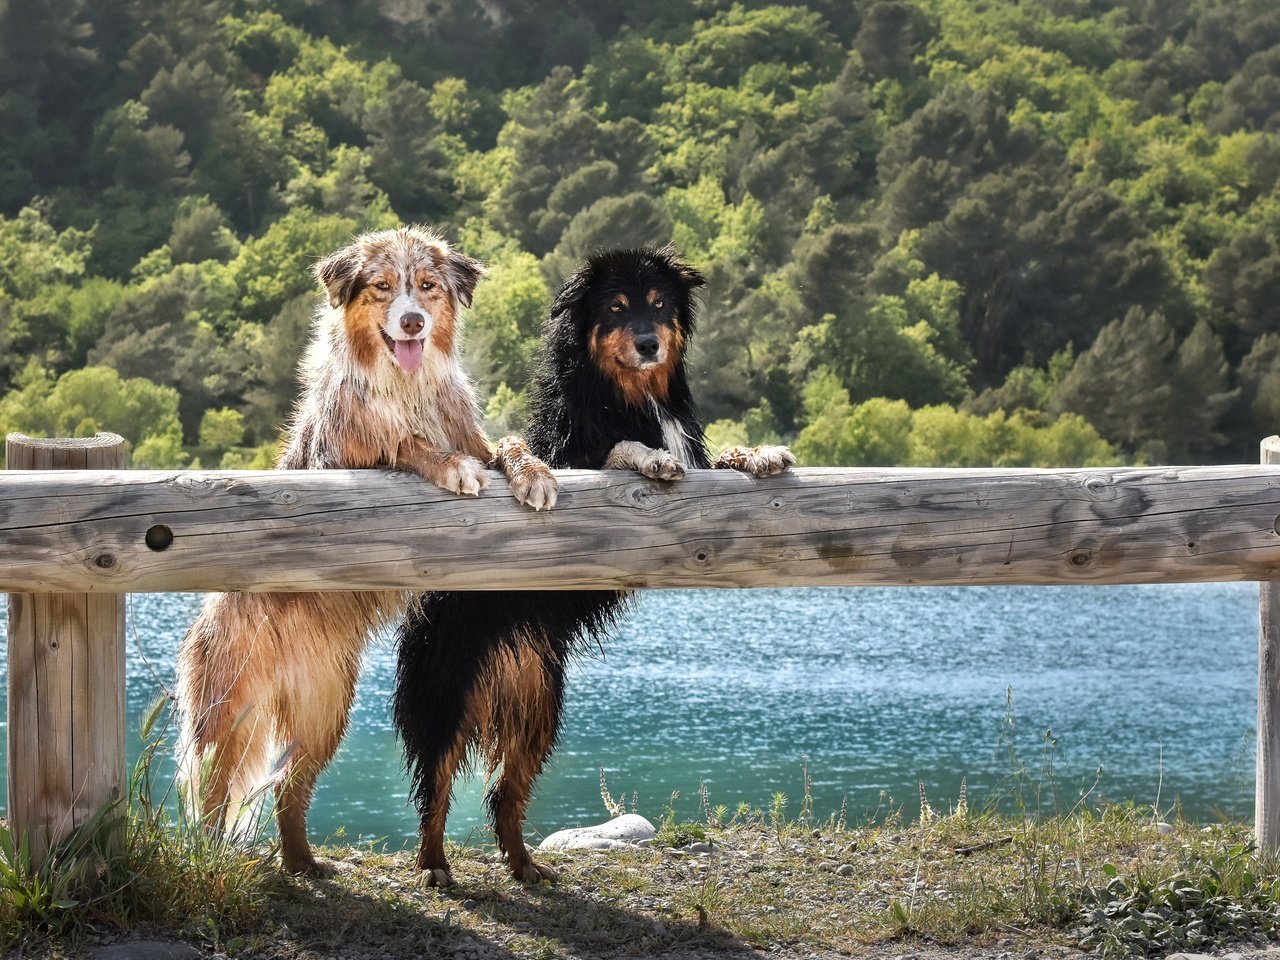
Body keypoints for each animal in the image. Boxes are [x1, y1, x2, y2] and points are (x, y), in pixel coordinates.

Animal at [391, 245, 788, 885]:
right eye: (617, 309)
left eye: (659, 306)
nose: (650, 343)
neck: (630, 395)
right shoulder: (570, 457)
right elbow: (616, 452)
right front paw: (647, 457)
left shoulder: (698, 460)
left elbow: (722, 458)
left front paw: (760, 453)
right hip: (447, 695)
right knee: (437, 788)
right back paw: (434, 867)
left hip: (538, 710)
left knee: (504, 795)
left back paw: (525, 866)